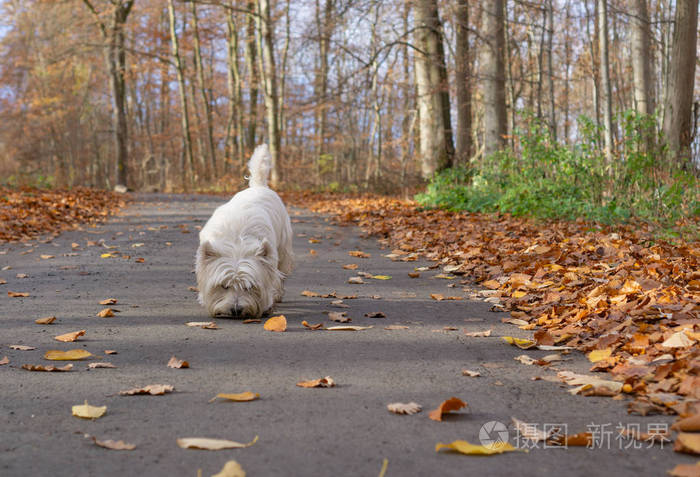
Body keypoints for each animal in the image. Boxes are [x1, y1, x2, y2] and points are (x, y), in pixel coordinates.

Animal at [197, 144, 292, 316]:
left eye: (249, 287)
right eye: (224, 286)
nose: (236, 310)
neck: (236, 243)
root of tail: (258, 186)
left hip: (283, 248)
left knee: (281, 273)